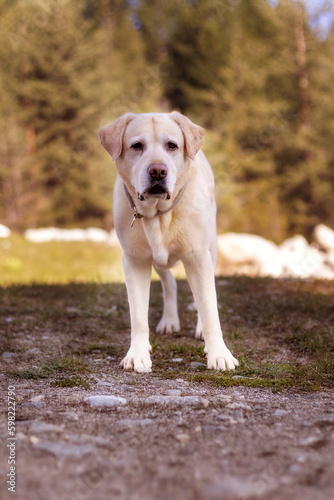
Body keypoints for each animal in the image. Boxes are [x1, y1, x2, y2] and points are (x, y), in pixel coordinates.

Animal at [98, 112, 239, 372]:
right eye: (137, 146)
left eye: (172, 145)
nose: (157, 171)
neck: (158, 213)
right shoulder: (135, 261)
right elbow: (138, 315)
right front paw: (138, 354)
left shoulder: (198, 257)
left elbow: (209, 307)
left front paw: (219, 354)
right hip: (157, 258)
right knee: (169, 282)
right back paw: (169, 321)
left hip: (211, 248)